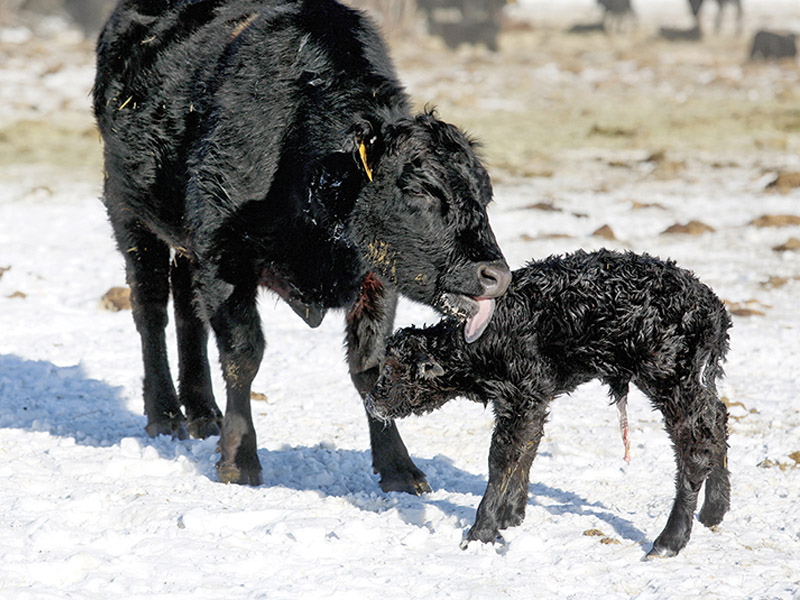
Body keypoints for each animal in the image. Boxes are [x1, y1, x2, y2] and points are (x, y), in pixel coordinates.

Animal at [93, 0, 511, 493]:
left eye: (485, 195)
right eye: (420, 191)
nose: (496, 275)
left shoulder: (375, 277)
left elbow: (369, 367)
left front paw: (398, 467)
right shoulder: (224, 257)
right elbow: (244, 354)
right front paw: (239, 459)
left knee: (186, 312)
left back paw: (203, 413)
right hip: (130, 214)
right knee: (151, 311)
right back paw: (165, 415)